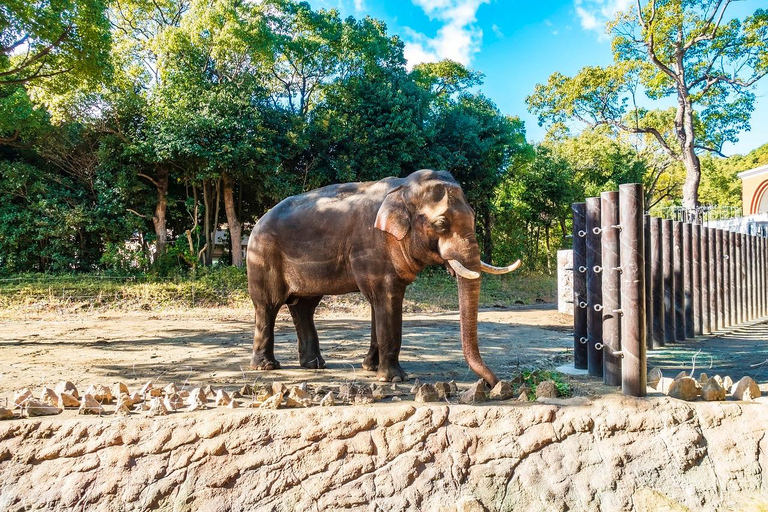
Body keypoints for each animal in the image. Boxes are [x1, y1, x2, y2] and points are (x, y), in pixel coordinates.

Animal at [246, 170, 520, 386]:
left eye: (473, 217)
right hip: (262, 256)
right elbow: (387, 299)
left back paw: (314, 365)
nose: (494, 385)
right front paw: (395, 378)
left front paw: (371, 368)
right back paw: (267, 366)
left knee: (304, 306)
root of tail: (257, 222)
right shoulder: (372, 245)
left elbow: (378, 304)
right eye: (441, 223)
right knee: (268, 305)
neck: (402, 187)